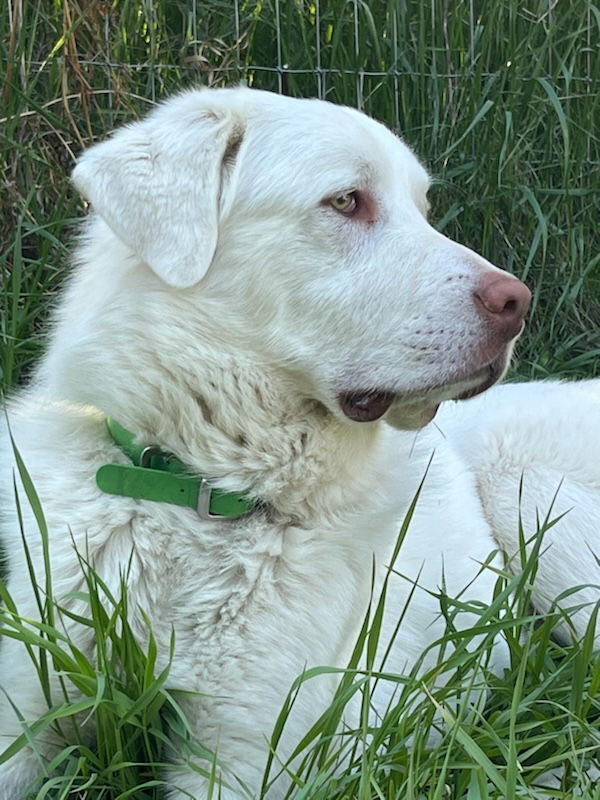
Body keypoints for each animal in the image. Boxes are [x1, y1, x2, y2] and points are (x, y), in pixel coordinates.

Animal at [0, 89, 596, 800]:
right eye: (346, 201)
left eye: (422, 211)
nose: (518, 302)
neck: (200, 490)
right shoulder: (27, 709)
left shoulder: (245, 758)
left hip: (525, 496)